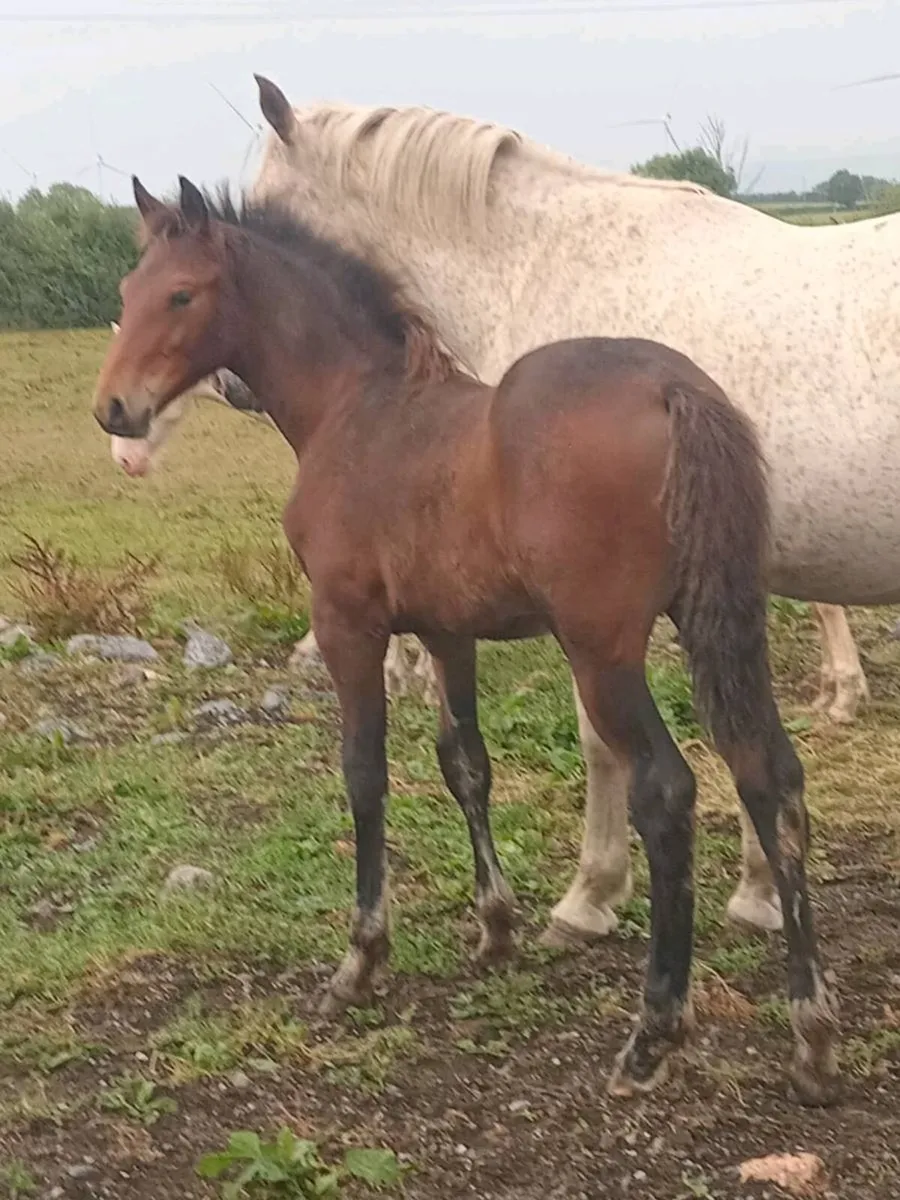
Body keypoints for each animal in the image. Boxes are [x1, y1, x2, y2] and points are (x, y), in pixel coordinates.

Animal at [92, 175, 839, 1105]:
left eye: (183, 295)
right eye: (128, 292)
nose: (113, 408)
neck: (355, 407)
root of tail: (672, 386)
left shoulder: (347, 624)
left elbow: (364, 774)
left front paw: (361, 961)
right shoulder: (449, 632)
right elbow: (466, 765)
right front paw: (495, 928)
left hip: (603, 650)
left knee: (667, 792)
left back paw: (652, 1033)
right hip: (718, 621)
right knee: (771, 775)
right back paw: (813, 1037)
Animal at [241, 74, 900, 945]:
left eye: (261, 212)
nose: (234, 386)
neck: (539, 267)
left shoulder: (598, 606)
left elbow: (606, 743)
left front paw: (592, 894)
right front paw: (760, 889)